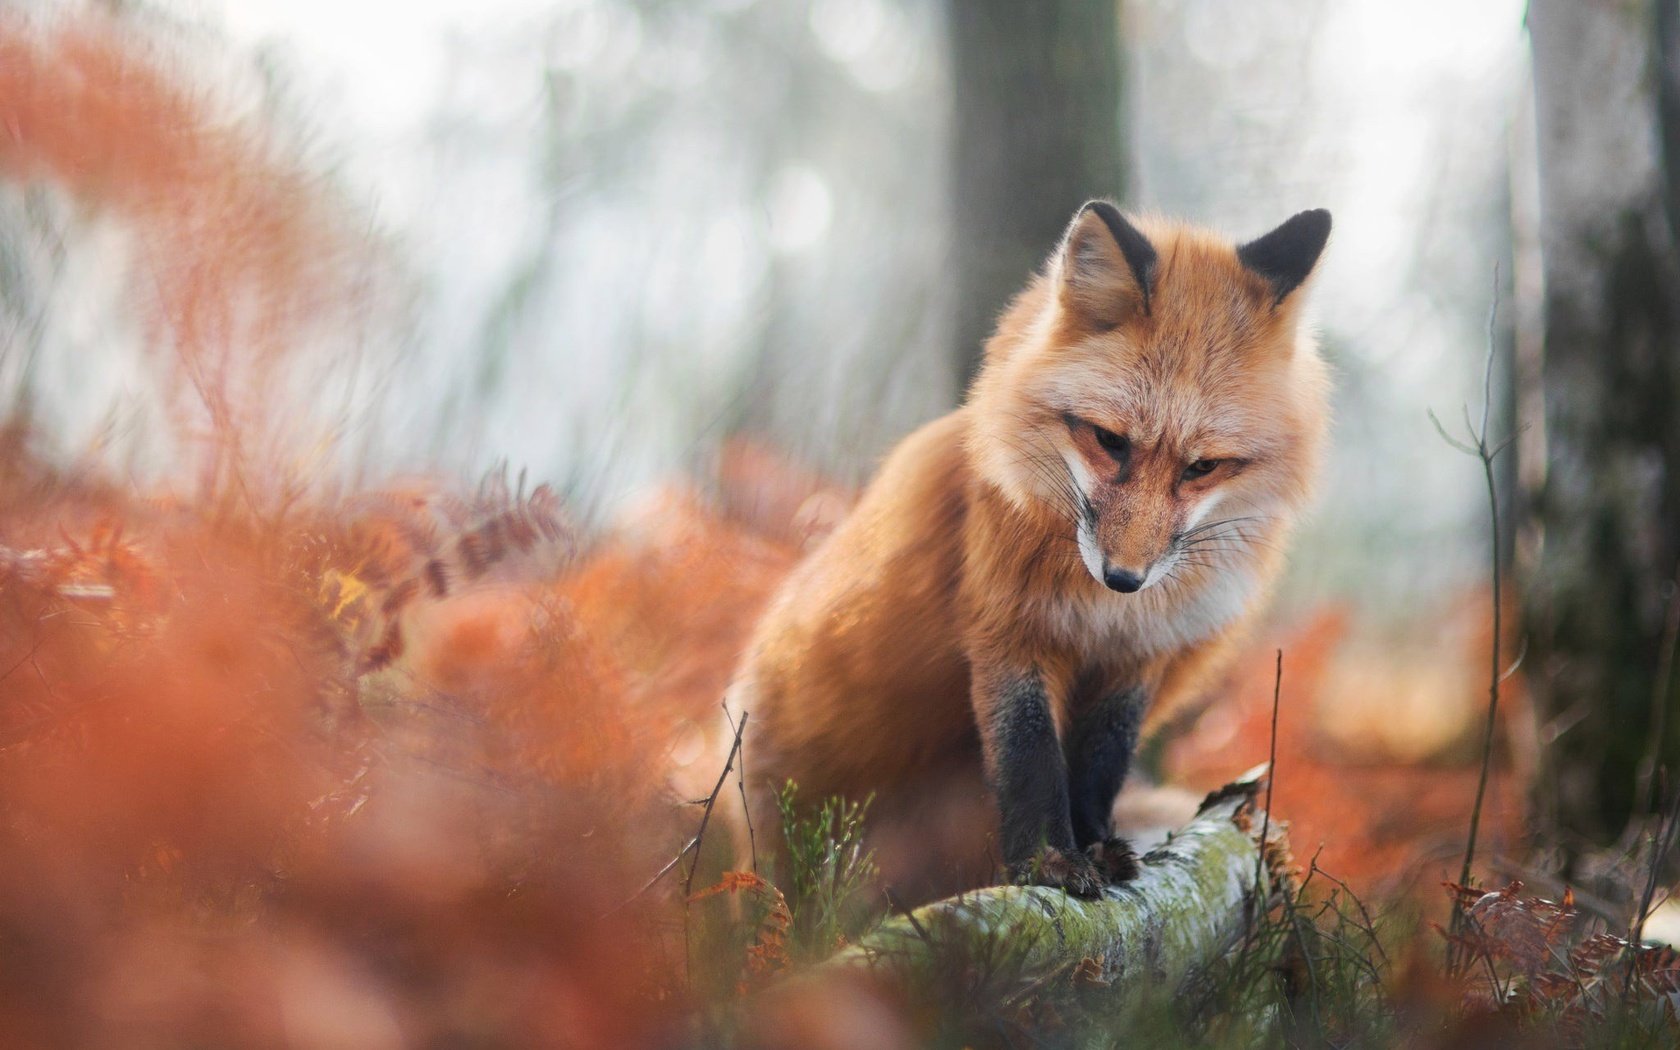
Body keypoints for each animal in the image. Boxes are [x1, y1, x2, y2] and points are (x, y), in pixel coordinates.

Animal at [729, 200, 1330, 893]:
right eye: (1109, 440)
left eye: (1202, 467)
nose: (1125, 578)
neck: (1101, 611)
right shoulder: (1007, 628)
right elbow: (1028, 757)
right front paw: (1049, 862)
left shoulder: (1139, 654)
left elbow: (1100, 763)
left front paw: (1093, 845)